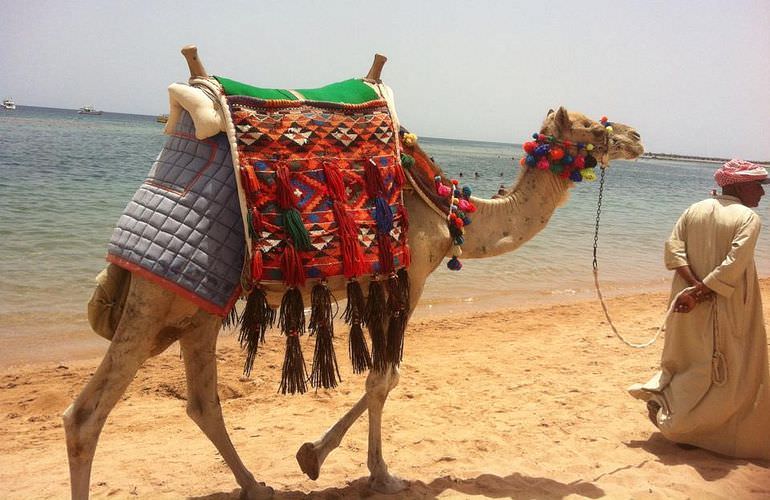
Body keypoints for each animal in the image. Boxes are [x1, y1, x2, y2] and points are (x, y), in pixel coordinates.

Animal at [64, 47, 640, 500]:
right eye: (592, 124)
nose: (636, 135)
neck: (450, 210)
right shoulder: (410, 275)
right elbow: (386, 377)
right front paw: (376, 473)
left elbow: (383, 376)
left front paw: (312, 457)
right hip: (156, 298)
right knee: (86, 415)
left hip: (197, 307)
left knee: (203, 403)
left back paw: (256, 485)